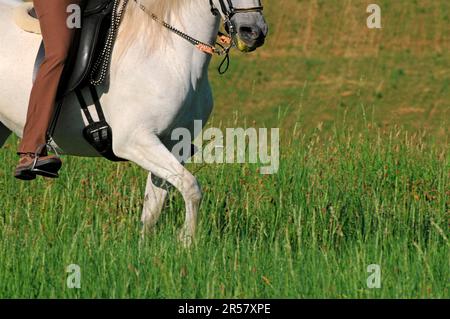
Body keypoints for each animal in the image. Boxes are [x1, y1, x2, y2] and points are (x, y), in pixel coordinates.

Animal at [0, 0, 268, 245]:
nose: (253, 32)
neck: (170, 53)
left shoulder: (172, 145)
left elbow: (154, 205)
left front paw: (144, 251)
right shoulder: (134, 142)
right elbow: (191, 187)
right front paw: (187, 242)